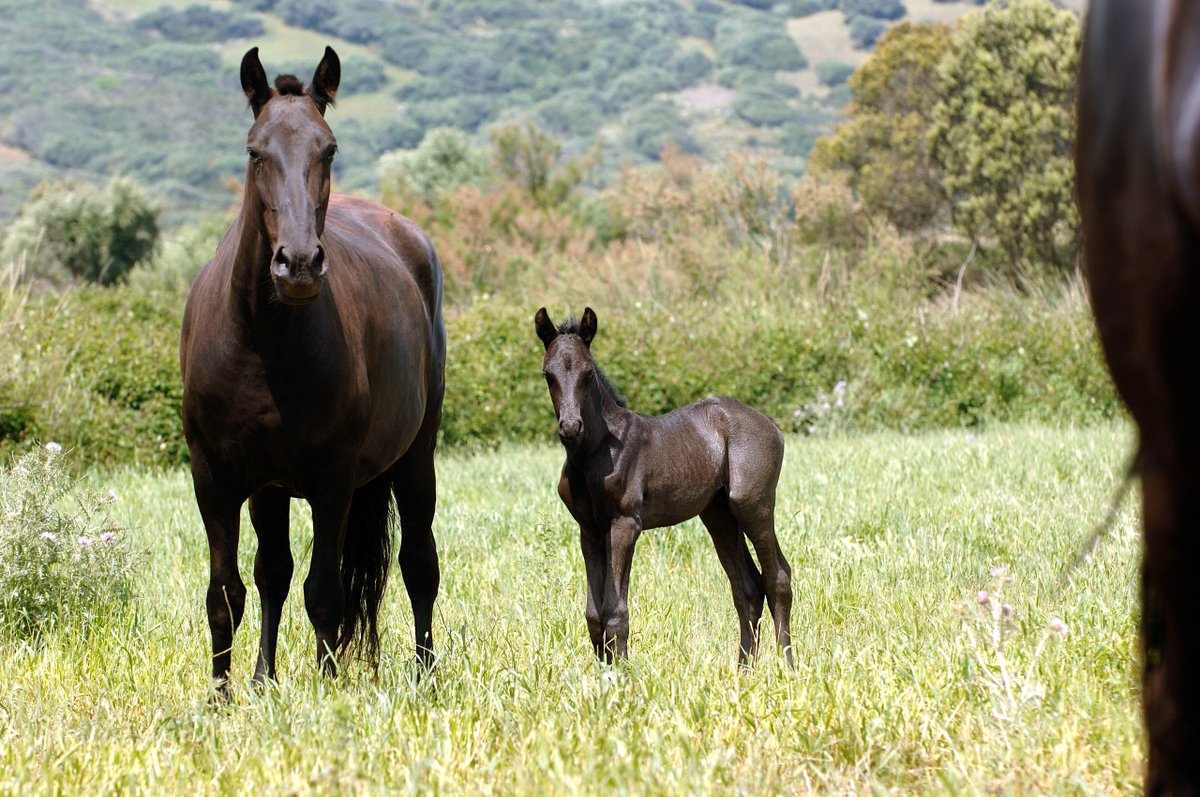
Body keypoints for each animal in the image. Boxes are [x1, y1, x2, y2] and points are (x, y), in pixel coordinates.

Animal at [180, 46, 445, 691]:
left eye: (328, 149)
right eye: (255, 151)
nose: (297, 264)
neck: (264, 346)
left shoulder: (332, 480)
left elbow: (323, 592)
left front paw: (327, 693)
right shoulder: (217, 480)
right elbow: (228, 594)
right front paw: (226, 695)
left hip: (415, 457)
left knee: (419, 566)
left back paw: (425, 675)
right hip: (272, 491)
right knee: (272, 574)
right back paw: (262, 679)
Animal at [534, 307, 794, 665]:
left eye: (588, 374)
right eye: (548, 375)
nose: (571, 427)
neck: (595, 452)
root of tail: (770, 423)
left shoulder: (625, 524)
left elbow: (615, 612)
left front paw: (623, 676)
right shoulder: (589, 531)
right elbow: (594, 615)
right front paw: (603, 675)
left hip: (752, 505)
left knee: (778, 578)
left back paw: (788, 669)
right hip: (719, 515)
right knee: (748, 588)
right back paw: (744, 671)